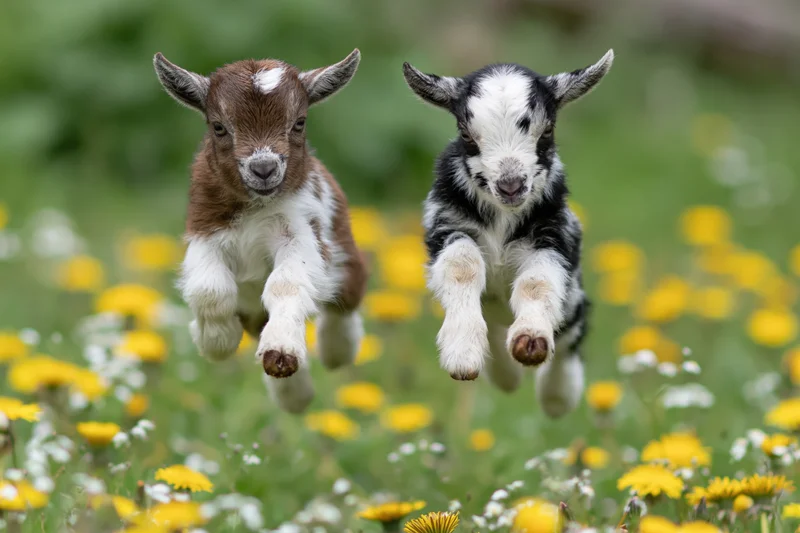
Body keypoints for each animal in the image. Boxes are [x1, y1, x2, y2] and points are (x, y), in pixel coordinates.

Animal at [154, 49, 367, 414]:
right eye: (219, 127)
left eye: (299, 122)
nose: (264, 168)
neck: (255, 207)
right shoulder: (204, 230)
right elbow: (209, 289)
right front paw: (216, 342)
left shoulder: (301, 230)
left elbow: (287, 284)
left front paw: (281, 351)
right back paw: (294, 394)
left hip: (344, 251)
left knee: (346, 297)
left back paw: (335, 352)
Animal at [402, 50, 613, 418]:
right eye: (467, 135)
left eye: (547, 130)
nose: (511, 185)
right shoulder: (448, 228)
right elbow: (462, 267)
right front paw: (462, 354)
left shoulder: (552, 237)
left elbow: (537, 282)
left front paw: (531, 340)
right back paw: (505, 374)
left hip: (573, 295)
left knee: (571, 329)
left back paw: (558, 395)